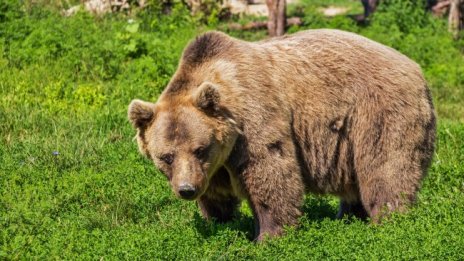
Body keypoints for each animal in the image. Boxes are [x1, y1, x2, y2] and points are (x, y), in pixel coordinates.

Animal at [127, 29, 436, 241]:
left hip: (377, 113)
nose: (186, 189)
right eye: (166, 156)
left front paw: (268, 236)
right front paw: (220, 222)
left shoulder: (253, 120)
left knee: (385, 169)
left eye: (199, 149)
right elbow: (216, 195)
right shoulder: (214, 165)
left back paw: (388, 221)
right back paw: (348, 216)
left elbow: (271, 173)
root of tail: (417, 68)